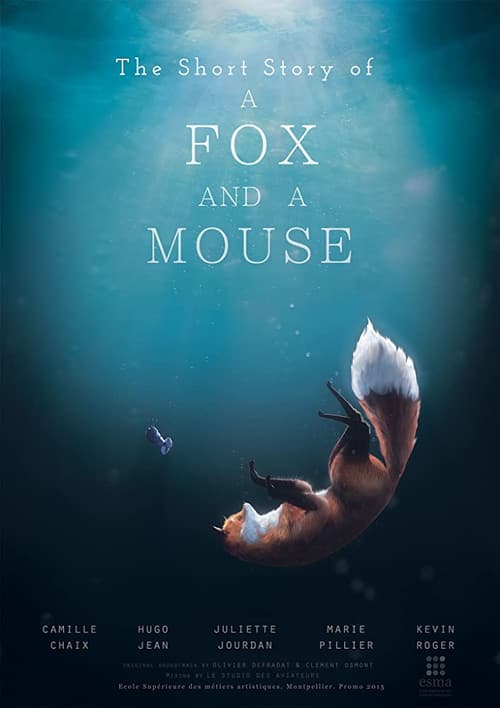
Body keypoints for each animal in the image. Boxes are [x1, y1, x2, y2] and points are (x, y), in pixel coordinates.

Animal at [214, 321, 420, 567]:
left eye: (235, 517)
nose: (243, 507)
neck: (263, 541)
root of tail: (393, 478)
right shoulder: (316, 508)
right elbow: (289, 495)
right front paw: (269, 486)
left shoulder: (305, 493)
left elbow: (291, 486)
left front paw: (260, 478)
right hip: (341, 468)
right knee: (361, 426)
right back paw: (341, 412)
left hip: (336, 462)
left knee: (358, 424)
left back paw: (336, 406)